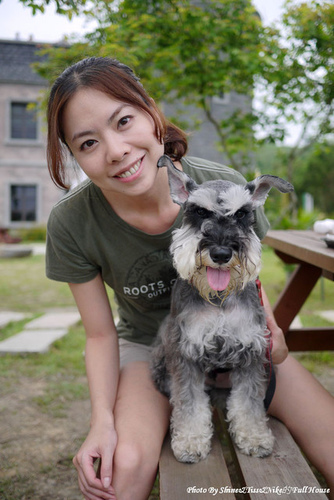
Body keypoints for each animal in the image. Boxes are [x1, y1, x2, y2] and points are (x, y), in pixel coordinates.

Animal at [150, 154, 294, 462]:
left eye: (242, 213)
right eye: (199, 212)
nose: (220, 253)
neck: (219, 300)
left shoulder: (252, 351)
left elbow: (249, 402)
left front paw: (254, 436)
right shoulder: (185, 351)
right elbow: (189, 401)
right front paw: (191, 441)